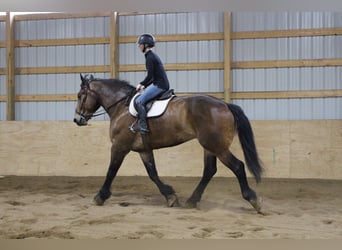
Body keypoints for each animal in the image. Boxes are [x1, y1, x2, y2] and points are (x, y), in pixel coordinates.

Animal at [73, 73, 264, 213]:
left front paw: (100, 196)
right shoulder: (144, 150)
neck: (121, 107)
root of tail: (225, 104)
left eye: (80, 96)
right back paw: (192, 201)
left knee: (238, 166)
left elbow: (111, 171)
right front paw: (170, 196)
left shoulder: (119, 146)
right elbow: (153, 173)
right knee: (209, 170)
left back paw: (253, 200)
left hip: (217, 146)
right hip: (210, 146)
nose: (77, 120)